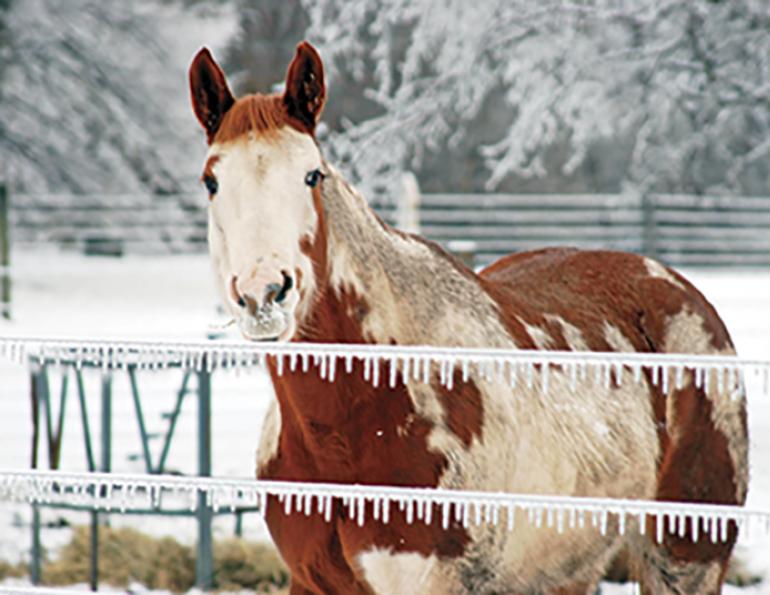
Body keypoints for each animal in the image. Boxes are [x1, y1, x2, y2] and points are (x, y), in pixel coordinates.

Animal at [189, 42, 748, 594]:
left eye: (312, 175)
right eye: (211, 181)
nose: (264, 293)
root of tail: (674, 285)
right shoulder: (311, 583)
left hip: (684, 561)